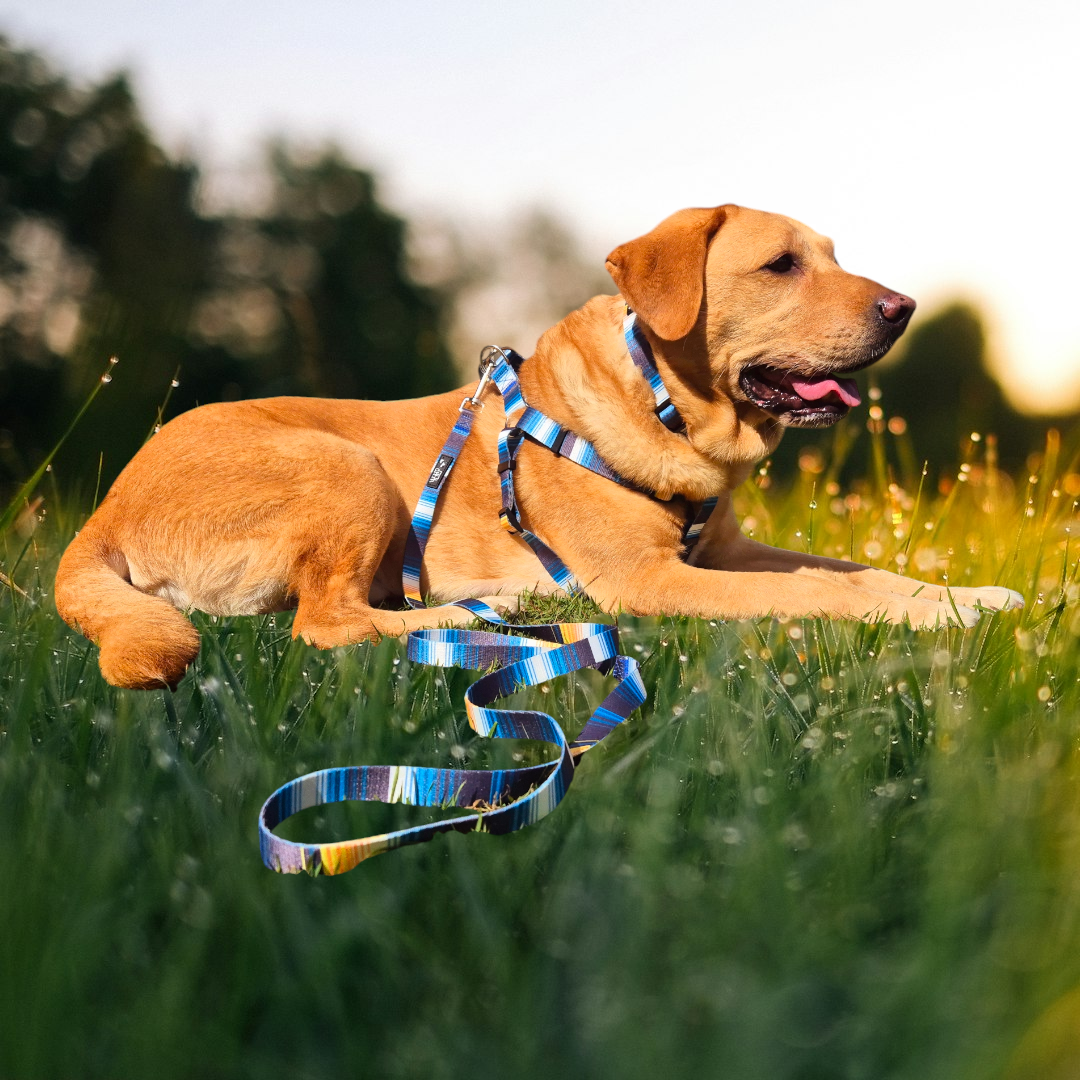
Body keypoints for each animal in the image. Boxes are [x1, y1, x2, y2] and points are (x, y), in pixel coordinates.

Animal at [54, 205, 1023, 686]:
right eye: (781, 265)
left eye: (831, 254)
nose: (904, 307)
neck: (666, 406)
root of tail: (104, 510)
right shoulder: (651, 580)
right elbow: (824, 594)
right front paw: (936, 615)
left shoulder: (730, 550)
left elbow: (858, 569)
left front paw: (970, 594)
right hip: (344, 468)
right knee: (324, 624)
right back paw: (470, 619)